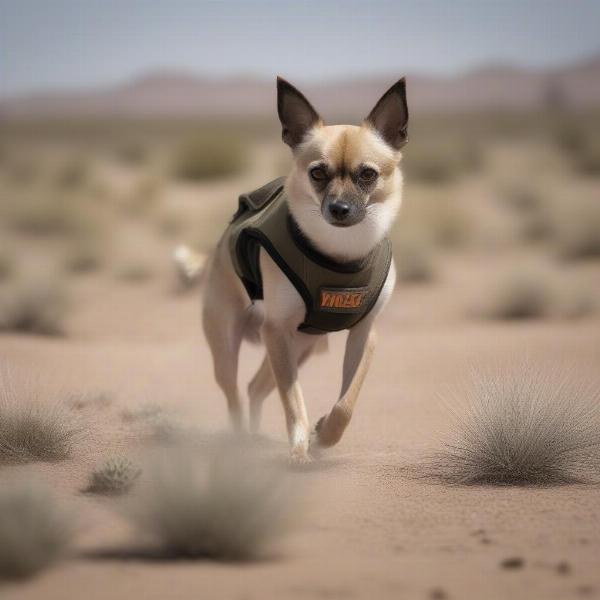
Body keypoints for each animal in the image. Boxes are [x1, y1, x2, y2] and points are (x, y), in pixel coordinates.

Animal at [197, 76, 408, 464]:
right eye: (318, 173)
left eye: (368, 174)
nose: (339, 209)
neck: (341, 253)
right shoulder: (277, 330)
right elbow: (294, 401)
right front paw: (299, 448)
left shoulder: (364, 336)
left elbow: (345, 405)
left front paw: (324, 435)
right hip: (233, 347)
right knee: (235, 395)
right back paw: (240, 442)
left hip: (299, 347)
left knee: (254, 387)